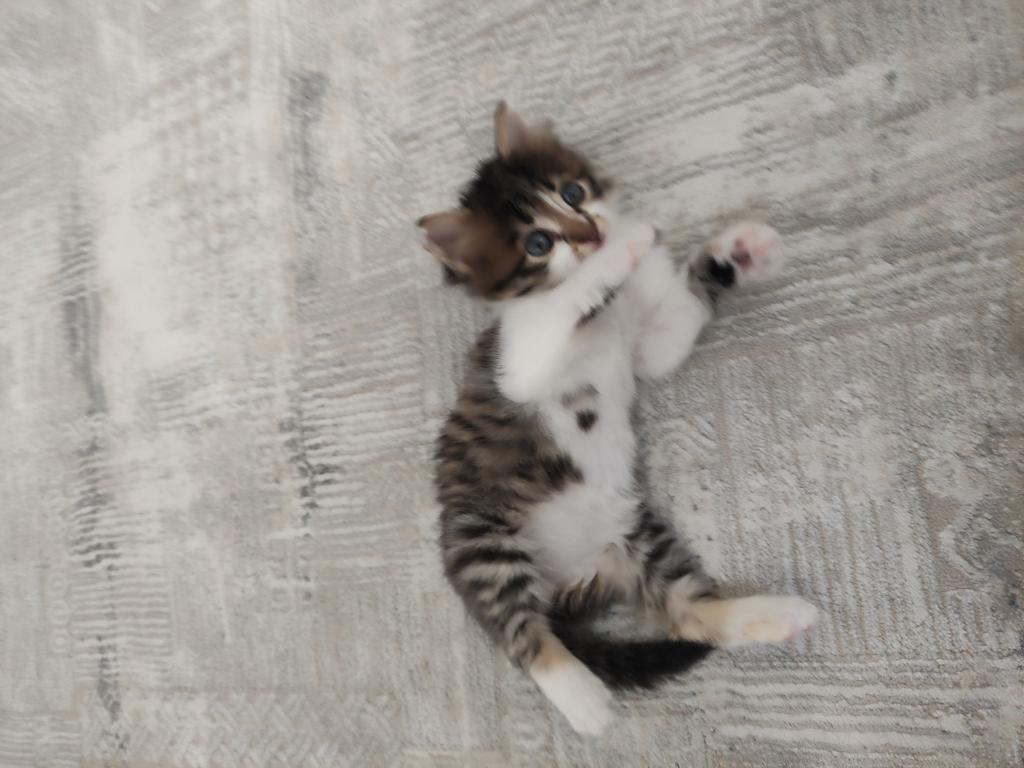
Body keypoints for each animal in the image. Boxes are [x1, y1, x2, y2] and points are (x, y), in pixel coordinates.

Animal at [417, 102, 817, 735]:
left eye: (573, 192)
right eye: (538, 242)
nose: (593, 234)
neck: (607, 312)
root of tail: (570, 583)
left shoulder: (649, 347)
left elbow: (681, 311)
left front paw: (737, 253)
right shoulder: (520, 360)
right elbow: (565, 299)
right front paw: (623, 247)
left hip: (639, 538)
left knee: (687, 614)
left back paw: (771, 614)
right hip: (481, 541)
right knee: (522, 633)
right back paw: (584, 700)